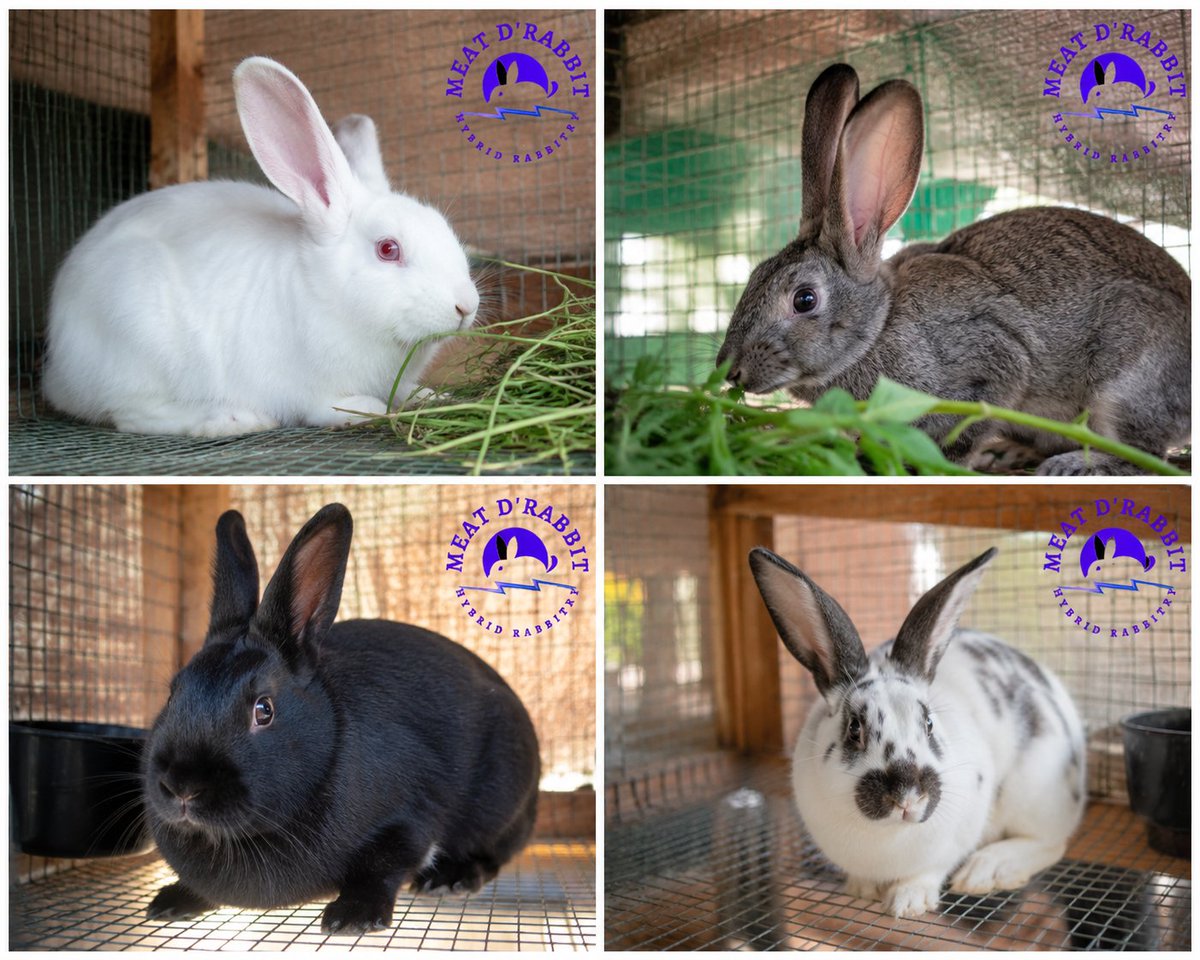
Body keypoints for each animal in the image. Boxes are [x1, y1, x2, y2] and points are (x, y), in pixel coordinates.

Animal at [42, 57, 480, 436]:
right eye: (388, 249)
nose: (466, 306)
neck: (326, 293)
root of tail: (57, 370)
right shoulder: (315, 391)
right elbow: (338, 406)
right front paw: (371, 409)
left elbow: (409, 392)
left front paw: (433, 396)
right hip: (138, 338)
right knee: (132, 414)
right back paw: (233, 419)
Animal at [142, 503, 540, 934]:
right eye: (173, 693)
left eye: (263, 710)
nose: (182, 787)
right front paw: (169, 902)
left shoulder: (408, 818)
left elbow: (381, 868)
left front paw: (352, 917)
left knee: (492, 853)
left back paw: (450, 879)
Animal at [716, 63, 1190, 475]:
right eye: (754, 278)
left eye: (804, 299)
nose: (730, 370)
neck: (878, 327)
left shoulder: (990, 364)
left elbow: (965, 426)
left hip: (1127, 381)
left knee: (1144, 455)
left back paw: (1073, 465)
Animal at [748, 545, 1086, 919]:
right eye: (854, 729)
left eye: (929, 724)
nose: (908, 797)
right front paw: (861, 890)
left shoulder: (953, 841)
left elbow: (928, 872)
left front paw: (908, 903)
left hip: (1035, 797)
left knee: (1050, 843)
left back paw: (986, 871)